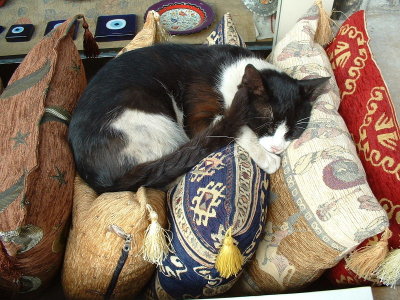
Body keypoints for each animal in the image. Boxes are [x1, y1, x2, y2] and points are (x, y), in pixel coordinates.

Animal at [68, 43, 328, 193]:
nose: (276, 149)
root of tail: (99, 179)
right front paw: (267, 158)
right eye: (267, 123)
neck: (236, 72)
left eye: (294, 131)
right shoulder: (197, 116)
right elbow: (237, 129)